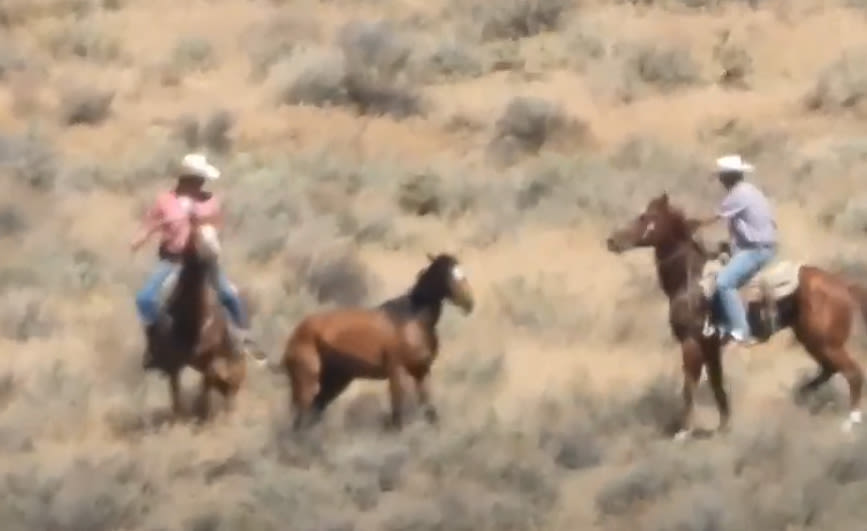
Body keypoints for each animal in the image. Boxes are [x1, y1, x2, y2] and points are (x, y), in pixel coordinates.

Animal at [282, 251, 474, 430]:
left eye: (462, 272)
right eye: (447, 274)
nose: (469, 303)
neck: (412, 318)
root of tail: (295, 334)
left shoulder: (422, 372)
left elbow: (430, 412)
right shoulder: (397, 373)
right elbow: (397, 416)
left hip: (334, 381)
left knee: (313, 413)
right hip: (307, 384)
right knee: (301, 418)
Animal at [608, 193, 867, 438]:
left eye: (645, 217)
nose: (612, 241)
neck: (690, 281)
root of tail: (844, 285)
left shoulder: (691, 343)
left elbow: (689, 386)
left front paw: (684, 431)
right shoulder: (710, 347)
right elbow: (717, 385)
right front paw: (723, 426)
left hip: (824, 342)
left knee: (853, 374)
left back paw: (850, 422)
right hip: (812, 340)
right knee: (829, 370)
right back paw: (802, 394)